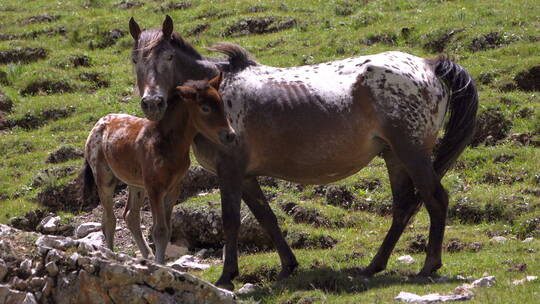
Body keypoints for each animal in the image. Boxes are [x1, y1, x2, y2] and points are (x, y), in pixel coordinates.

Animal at [82, 74, 234, 264]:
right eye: (205, 108)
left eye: (221, 104)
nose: (230, 135)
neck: (166, 143)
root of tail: (99, 123)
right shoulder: (154, 188)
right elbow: (159, 231)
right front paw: (159, 264)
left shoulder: (173, 188)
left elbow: (167, 231)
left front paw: (158, 263)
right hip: (105, 179)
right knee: (109, 220)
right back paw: (111, 255)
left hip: (136, 183)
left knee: (130, 216)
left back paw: (147, 256)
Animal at [129, 16, 478, 290]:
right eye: (135, 60)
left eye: (168, 57)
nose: (152, 103)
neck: (218, 95)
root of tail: (428, 65)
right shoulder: (246, 176)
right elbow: (266, 218)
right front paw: (288, 266)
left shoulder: (230, 171)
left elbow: (231, 221)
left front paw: (227, 276)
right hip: (394, 156)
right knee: (404, 207)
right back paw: (373, 266)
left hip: (412, 153)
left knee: (435, 199)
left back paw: (428, 266)